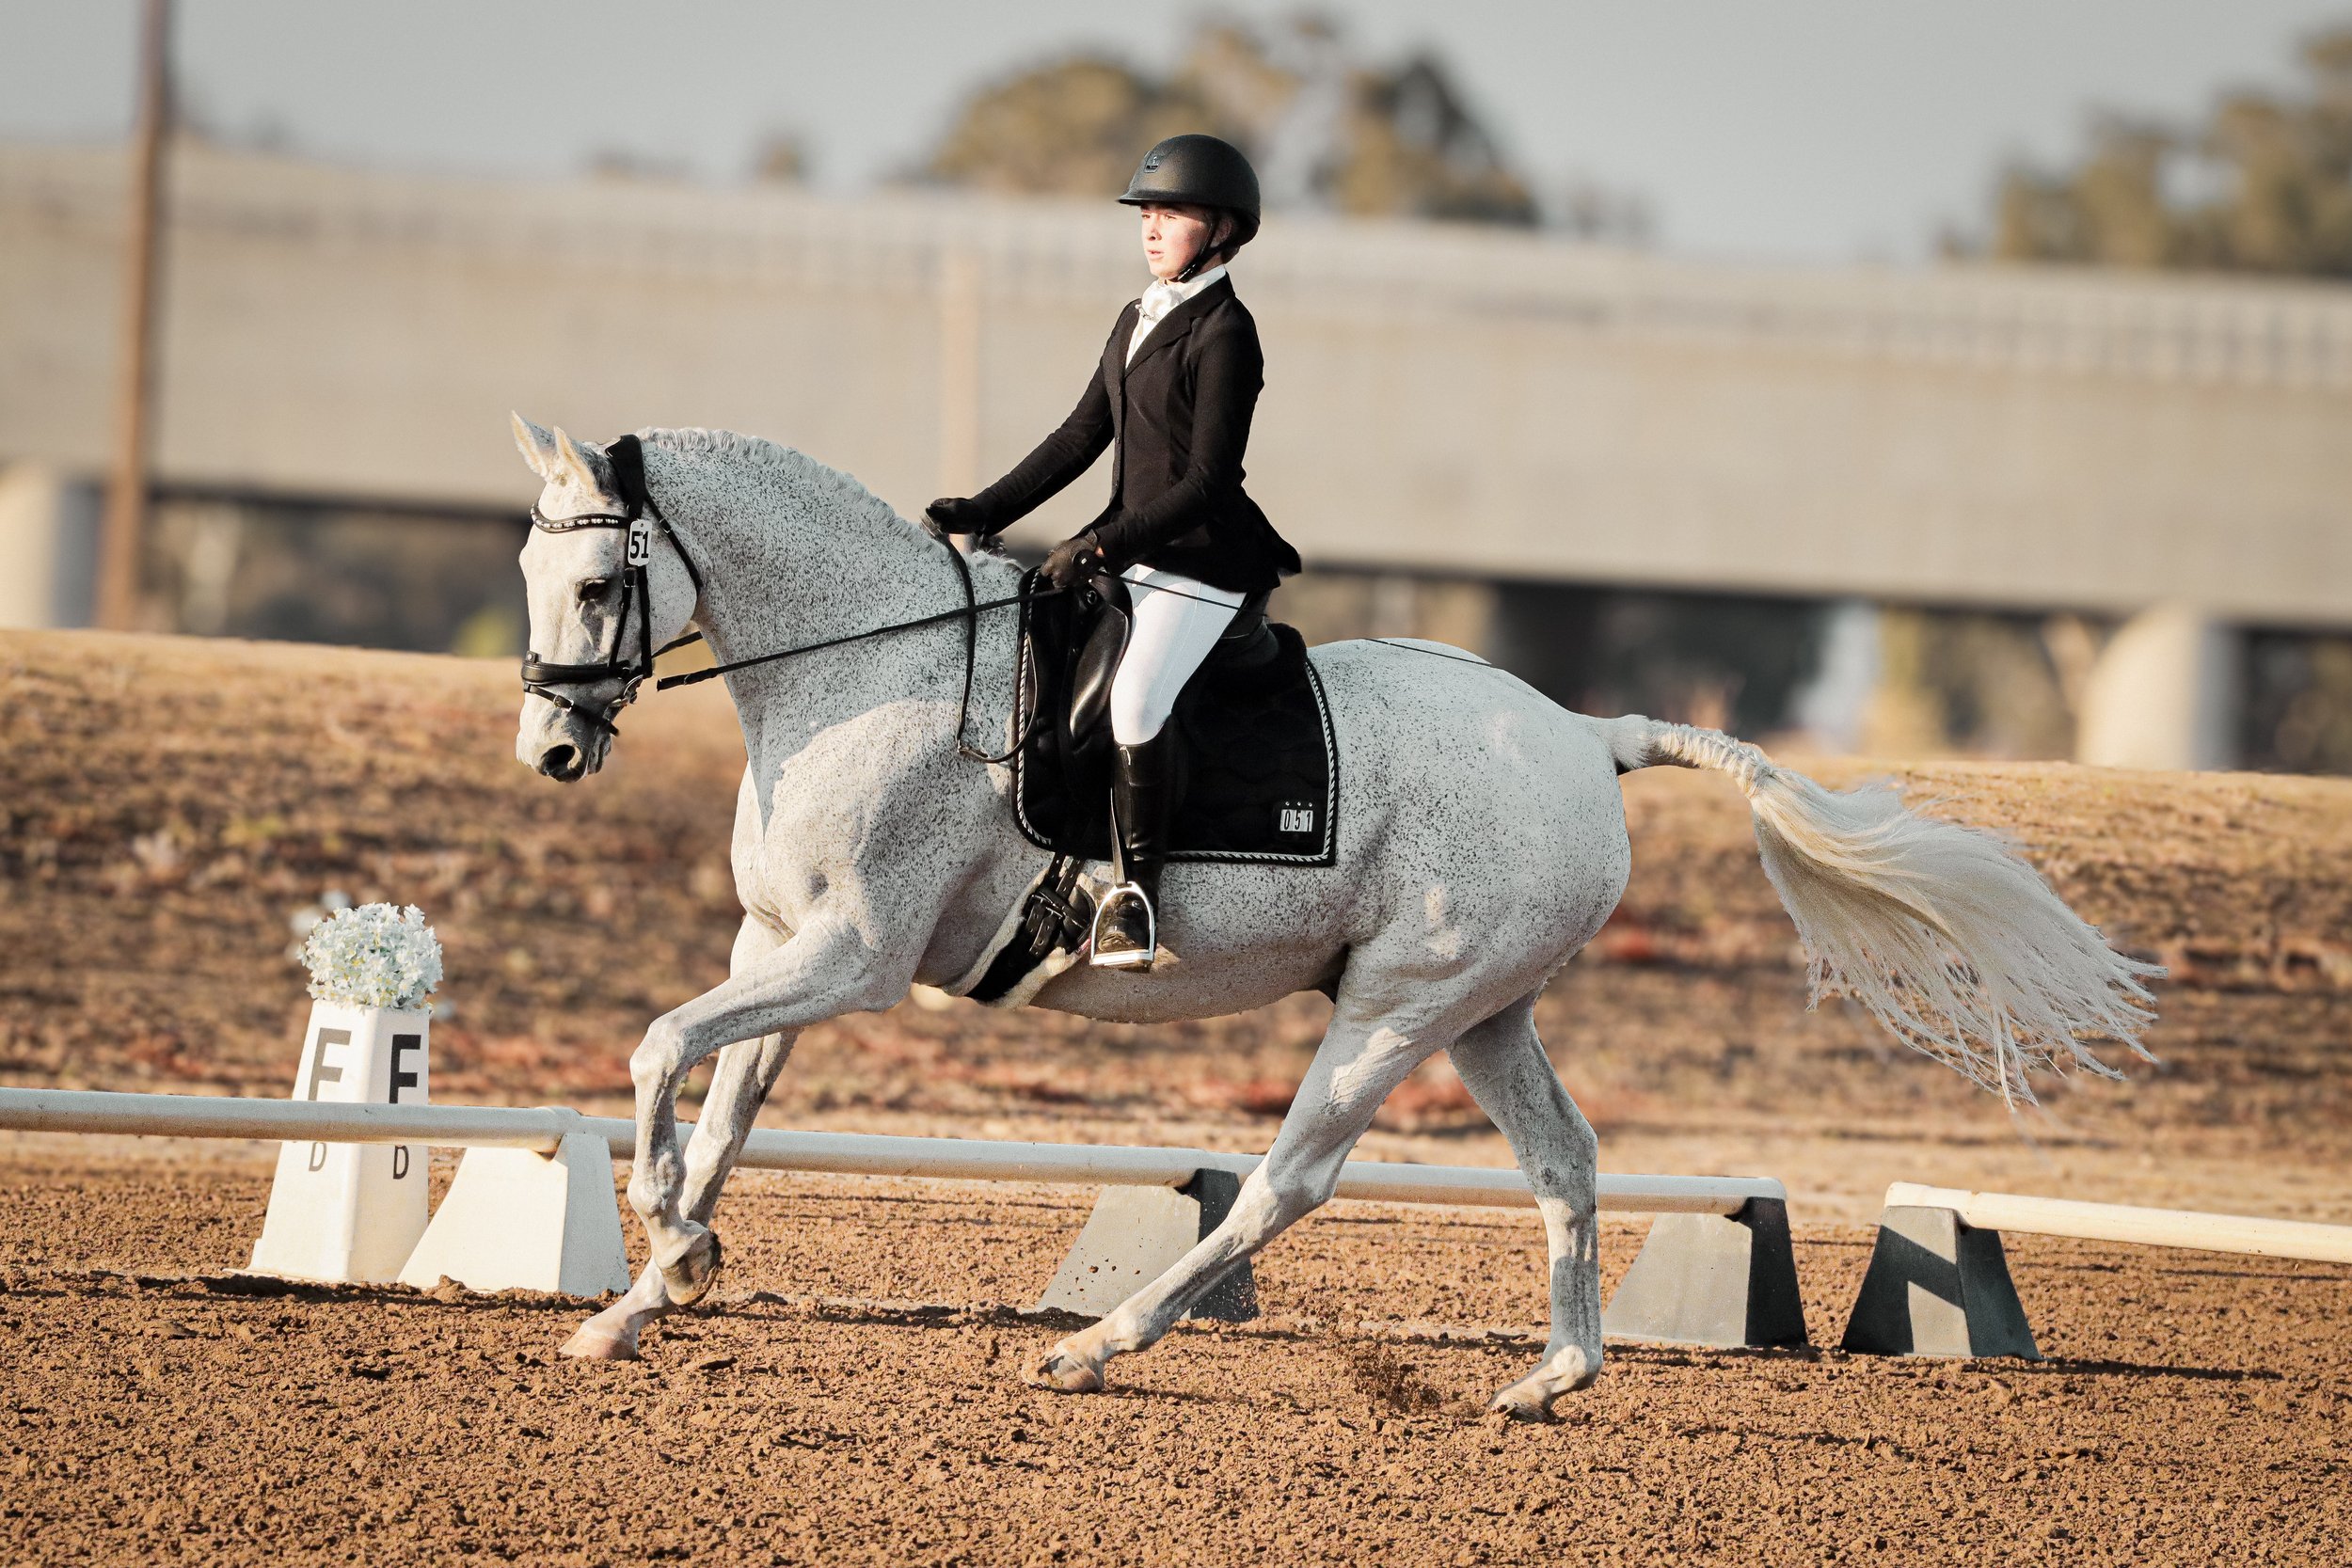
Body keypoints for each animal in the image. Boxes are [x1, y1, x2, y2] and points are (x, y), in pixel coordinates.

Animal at [507, 416, 2160, 1419]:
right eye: (529, 568)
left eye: (593, 583)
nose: (550, 754)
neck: (873, 664)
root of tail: (1590, 735)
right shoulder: (775, 949)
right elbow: (717, 1101)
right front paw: (649, 1290)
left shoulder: (847, 961)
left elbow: (656, 1050)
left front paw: (665, 1238)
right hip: (1484, 1009)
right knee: (1566, 1161)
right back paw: (1553, 1377)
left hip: (1394, 1008)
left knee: (1286, 1180)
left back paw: (1099, 1345)